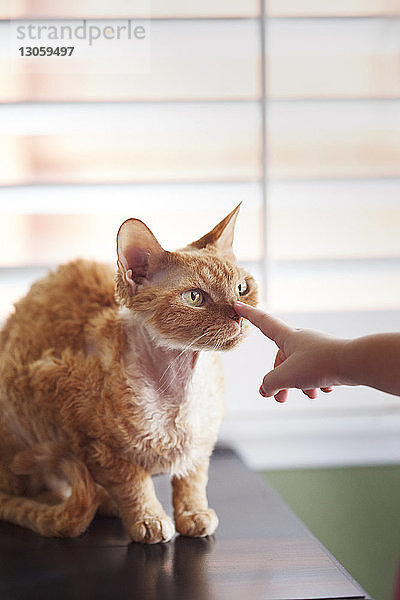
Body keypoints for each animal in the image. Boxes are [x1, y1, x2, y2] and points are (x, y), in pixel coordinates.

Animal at [0, 204, 256, 540]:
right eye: (195, 297)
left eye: (242, 288)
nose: (240, 316)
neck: (178, 388)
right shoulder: (93, 442)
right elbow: (132, 481)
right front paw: (148, 519)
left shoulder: (201, 447)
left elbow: (192, 479)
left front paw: (194, 514)